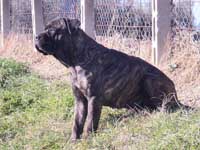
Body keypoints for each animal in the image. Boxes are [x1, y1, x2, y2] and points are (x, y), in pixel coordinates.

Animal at [35, 17, 187, 141]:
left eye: (52, 30)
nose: (36, 36)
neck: (76, 61)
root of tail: (175, 94)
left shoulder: (94, 99)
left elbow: (90, 121)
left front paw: (87, 139)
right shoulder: (79, 100)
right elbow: (77, 122)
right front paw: (73, 140)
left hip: (150, 79)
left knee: (164, 105)